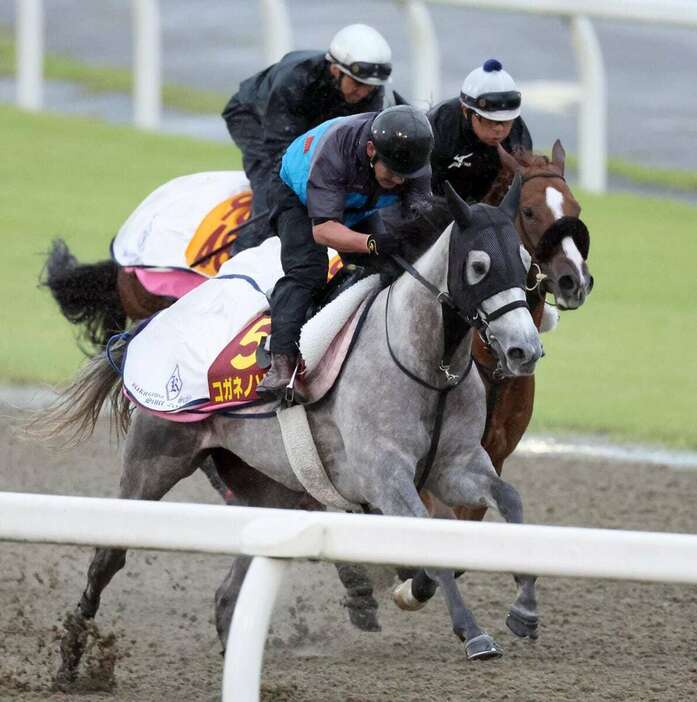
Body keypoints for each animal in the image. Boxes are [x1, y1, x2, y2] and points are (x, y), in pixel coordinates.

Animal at [47, 176, 544, 688]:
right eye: (479, 265)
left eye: (527, 265)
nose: (524, 350)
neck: (429, 364)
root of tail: (146, 330)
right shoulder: (384, 476)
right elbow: (431, 543)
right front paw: (471, 631)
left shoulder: (456, 465)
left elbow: (508, 501)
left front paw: (523, 609)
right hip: (155, 459)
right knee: (109, 556)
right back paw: (71, 657)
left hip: (271, 486)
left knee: (234, 581)